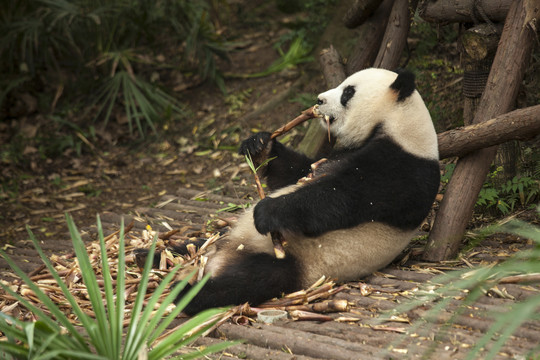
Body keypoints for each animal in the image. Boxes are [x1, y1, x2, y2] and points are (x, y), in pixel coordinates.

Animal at [159, 68, 438, 316]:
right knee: (183, 247)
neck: (400, 126)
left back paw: (187, 293)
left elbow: (338, 200)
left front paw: (267, 212)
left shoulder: (400, 169)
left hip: (299, 262)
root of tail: (219, 257)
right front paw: (259, 145)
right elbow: (297, 172)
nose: (319, 100)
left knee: (249, 281)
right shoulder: (339, 153)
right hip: (218, 239)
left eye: (348, 92)